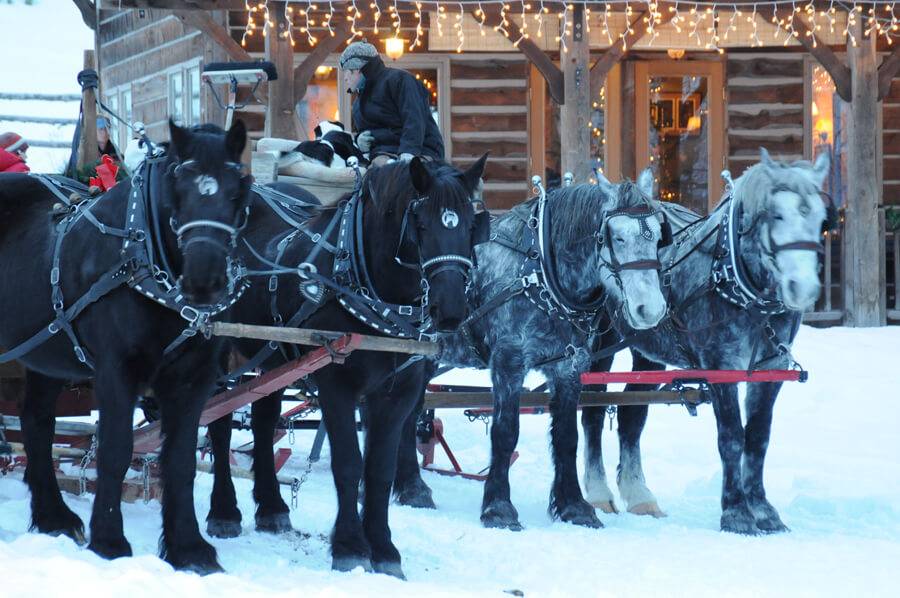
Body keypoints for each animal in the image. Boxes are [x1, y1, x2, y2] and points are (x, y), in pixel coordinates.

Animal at [0, 119, 253, 576]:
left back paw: (53, 517)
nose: (204, 279)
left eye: (236, 191)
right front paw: (109, 541)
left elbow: (181, 461)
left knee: (36, 423)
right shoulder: (116, 370)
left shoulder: (193, 378)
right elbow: (116, 451)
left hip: (47, 354)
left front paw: (189, 548)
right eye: (177, 186)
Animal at [205, 157, 488, 580]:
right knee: (221, 425)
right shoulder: (336, 383)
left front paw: (385, 550)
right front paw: (351, 547)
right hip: (220, 350)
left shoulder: (397, 391)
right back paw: (224, 512)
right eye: (420, 224)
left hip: (273, 357)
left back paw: (272, 508)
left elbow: (380, 468)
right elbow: (349, 464)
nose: (451, 309)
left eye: (472, 225)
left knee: (262, 421)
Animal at [584, 150, 828, 536]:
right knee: (592, 409)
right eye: (776, 215)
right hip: (601, 340)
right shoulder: (721, 367)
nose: (801, 289)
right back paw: (597, 493)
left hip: (647, 347)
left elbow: (757, 438)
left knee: (631, 413)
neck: (737, 283)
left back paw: (640, 496)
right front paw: (736, 513)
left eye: (821, 219)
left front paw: (764, 511)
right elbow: (731, 437)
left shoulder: (771, 369)